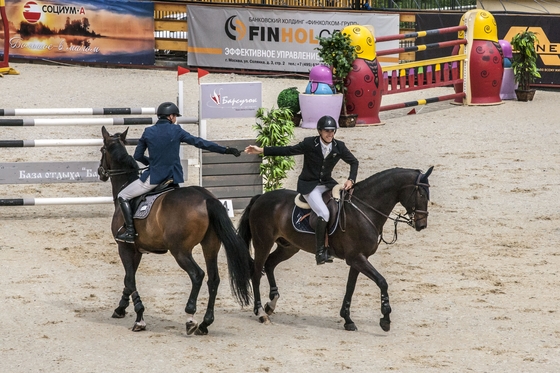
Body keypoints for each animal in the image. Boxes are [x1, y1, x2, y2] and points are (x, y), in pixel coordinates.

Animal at [98, 125, 252, 334]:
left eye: (101, 150)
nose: (100, 172)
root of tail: (206, 198)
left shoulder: (124, 247)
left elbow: (130, 280)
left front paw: (139, 318)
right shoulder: (136, 250)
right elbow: (128, 280)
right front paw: (121, 308)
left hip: (180, 250)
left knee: (197, 275)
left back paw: (190, 317)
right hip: (210, 246)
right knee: (213, 279)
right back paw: (205, 323)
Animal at [236, 166, 434, 332]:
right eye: (421, 194)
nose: (422, 225)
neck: (364, 208)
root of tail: (260, 198)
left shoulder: (358, 259)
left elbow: (350, 288)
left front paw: (347, 320)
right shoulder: (356, 258)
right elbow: (382, 282)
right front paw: (385, 319)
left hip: (289, 247)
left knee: (269, 264)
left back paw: (271, 305)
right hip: (263, 243)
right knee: (256, 273)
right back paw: (261, 312)